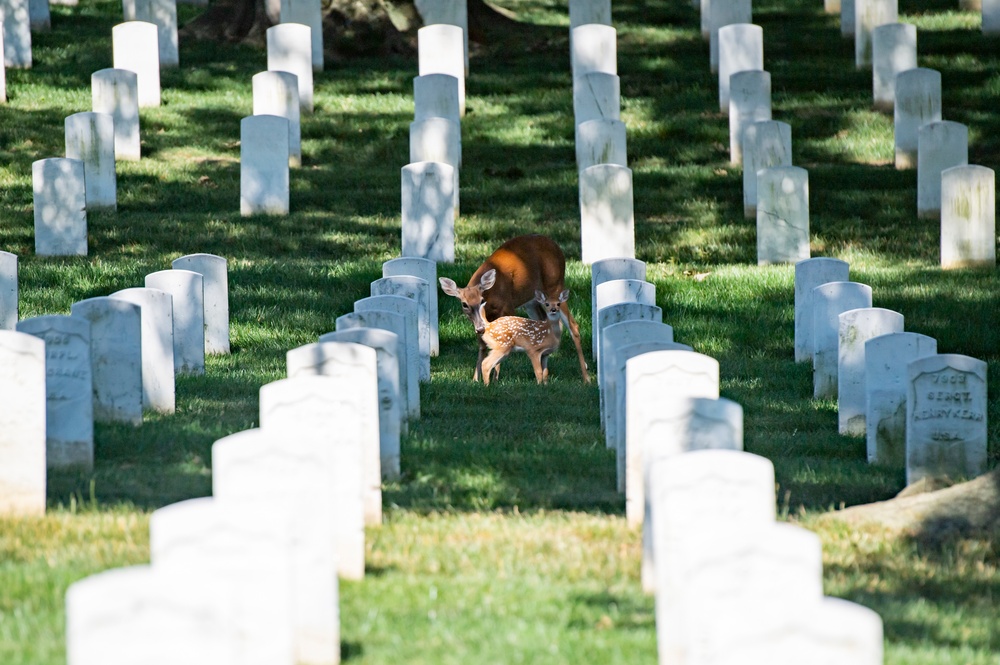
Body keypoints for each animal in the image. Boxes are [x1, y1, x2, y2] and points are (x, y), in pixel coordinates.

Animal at [440, 233, 592, 382]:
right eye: (464, 304)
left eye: (482, 300)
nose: (480, 329)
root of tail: (557, 247)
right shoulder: (479, 323)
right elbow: (482, 345)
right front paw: (475, 380)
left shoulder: (508, 307)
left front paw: (495, 378)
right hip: (532, 301)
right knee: (544, 321)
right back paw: (545, 374)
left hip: (555, 286)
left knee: (573, 326)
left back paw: (586, 378)